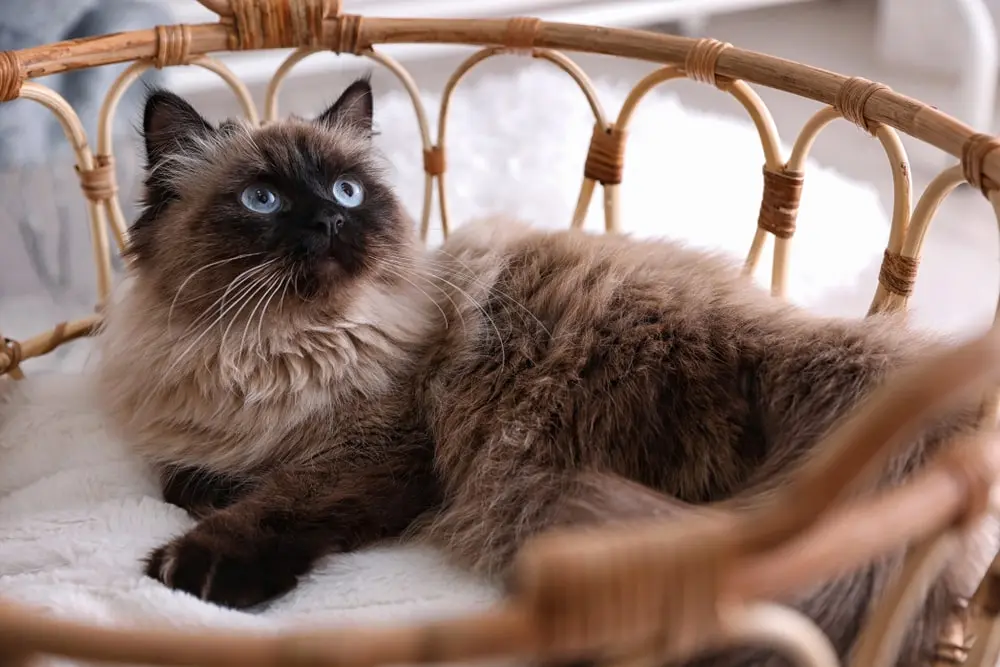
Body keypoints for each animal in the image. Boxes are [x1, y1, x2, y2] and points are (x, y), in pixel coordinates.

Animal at [95, 79, 992, 667]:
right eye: (264, 201)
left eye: (347, 191)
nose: (325, 223)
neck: (269, 349)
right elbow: (194, 477)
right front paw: (211, 489)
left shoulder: (376, 449)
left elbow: (280, 502)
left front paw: (194, 567)